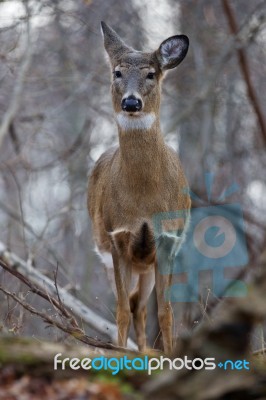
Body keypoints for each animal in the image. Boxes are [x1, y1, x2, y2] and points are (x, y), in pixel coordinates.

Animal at [88, 21, 191, 354]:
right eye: (117, 72)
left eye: (151, 74)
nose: (131, 102)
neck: (145, 201)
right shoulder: (118, 236)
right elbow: (121, 310)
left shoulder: (168, 239)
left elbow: (166, 312)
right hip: (110, 253)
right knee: (132, 305)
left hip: (146, 264)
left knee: (142, 307)